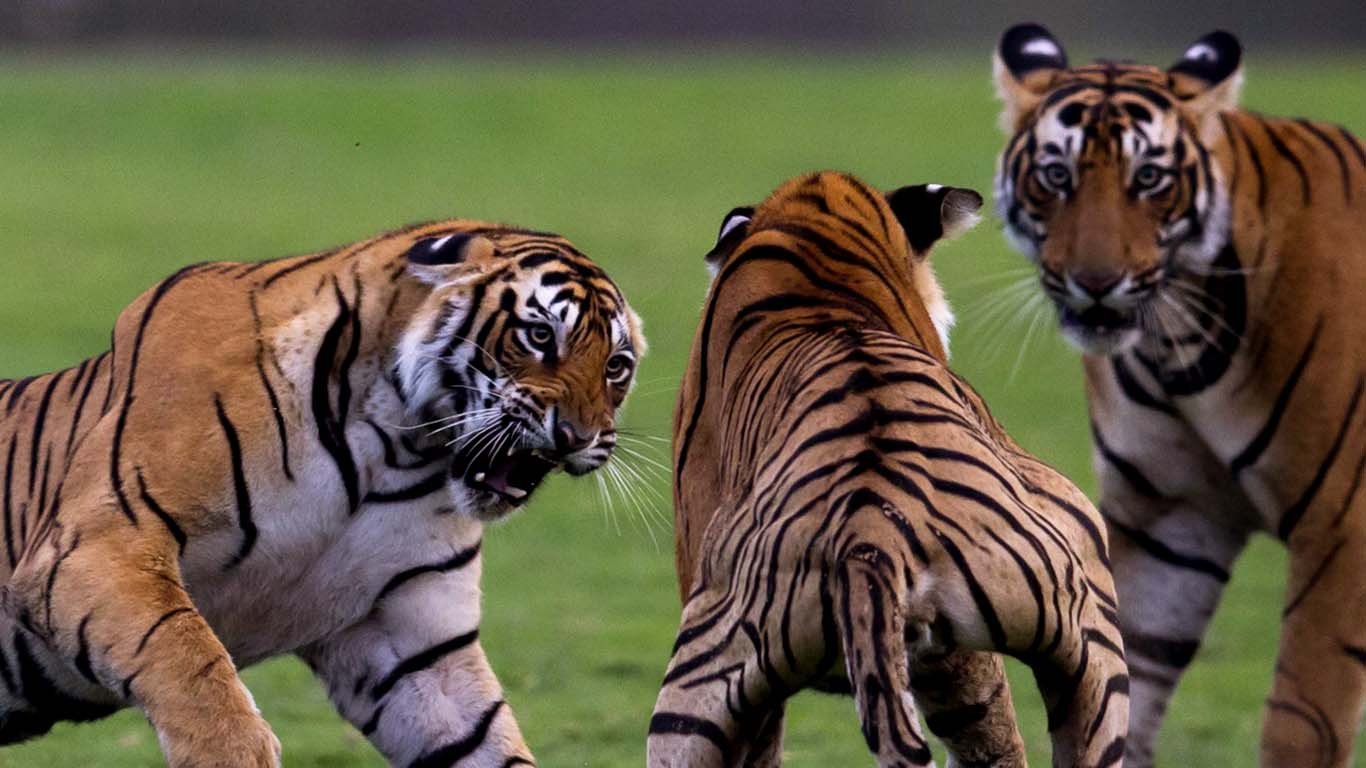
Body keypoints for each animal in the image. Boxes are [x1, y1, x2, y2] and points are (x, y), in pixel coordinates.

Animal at [0, 220, 644, 767]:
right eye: (538, 335)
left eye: (616, 365)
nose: (581, 437)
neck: (392, 449)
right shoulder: (97, 544)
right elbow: (188, 662)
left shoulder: (411, 639)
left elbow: (486, 739)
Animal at [993, 22, 1366, 767]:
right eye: (1057, 175)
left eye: (1149, 179)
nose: (1095, 282)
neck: (1181, 343)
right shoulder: (1170, 520)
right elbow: (1115, 690)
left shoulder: (1343, 523)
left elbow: (1301, 719)